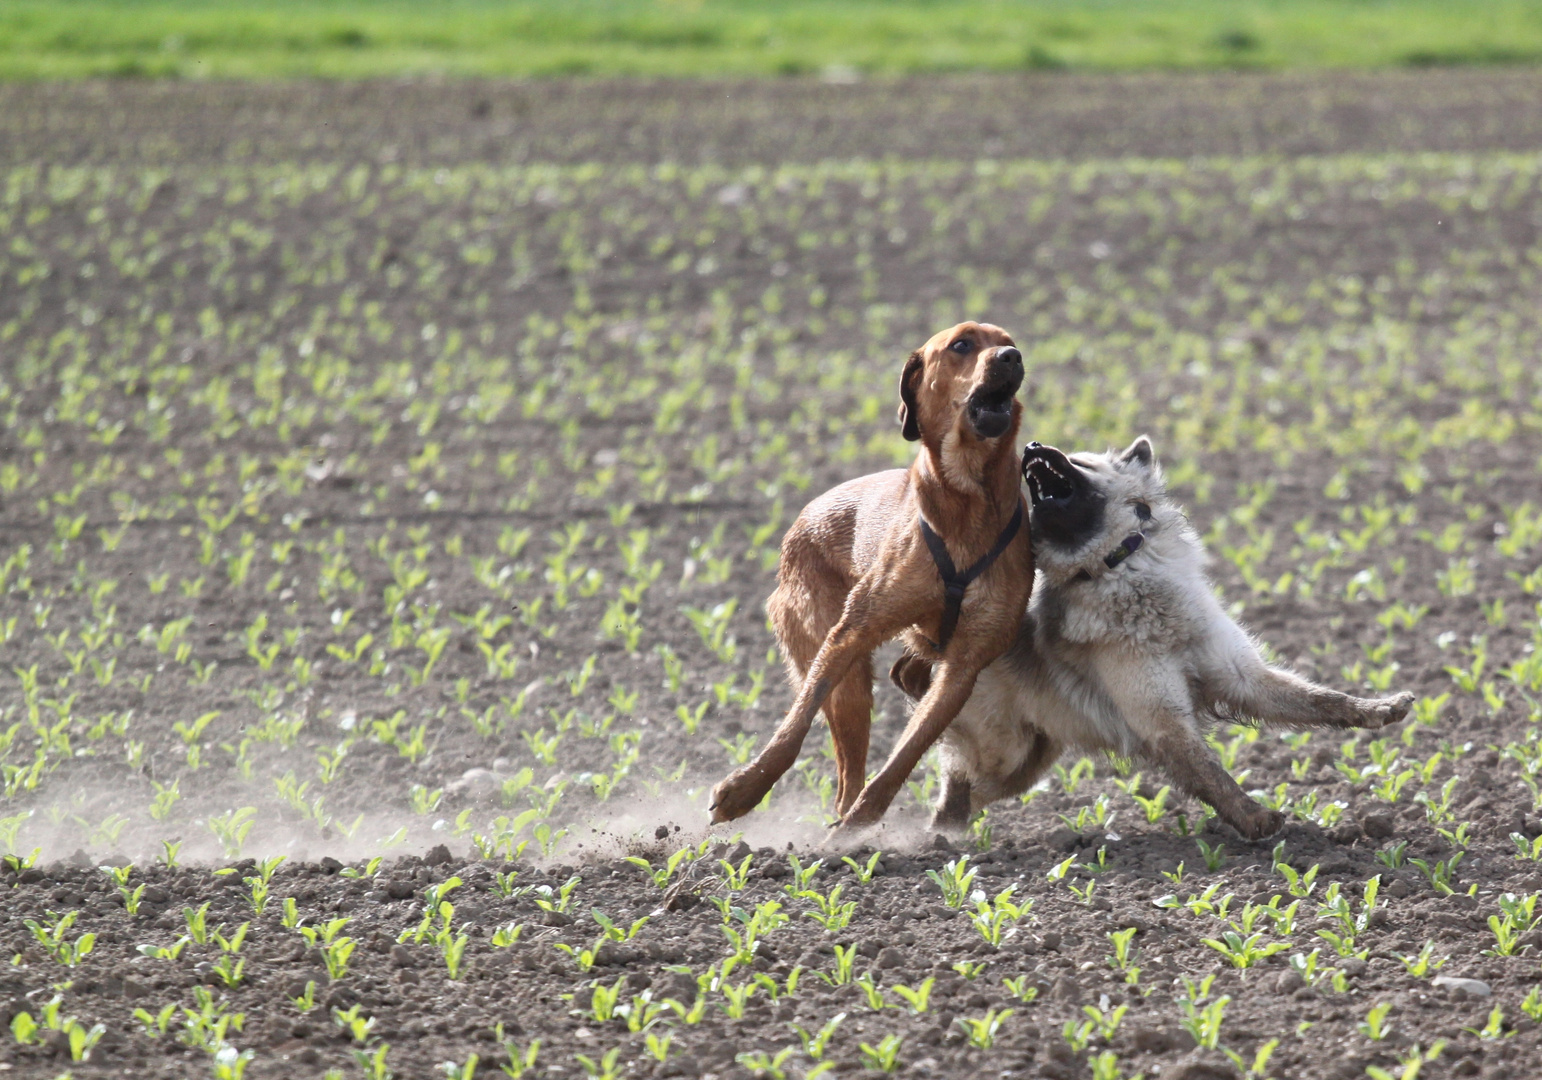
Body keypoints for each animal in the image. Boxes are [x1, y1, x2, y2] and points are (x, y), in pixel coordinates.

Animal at [709, 322, 1036, 833]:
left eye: (1008, 340)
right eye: (961, 344)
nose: (1011, 357)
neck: (968, 498)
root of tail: (798, 523)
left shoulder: (964, 665)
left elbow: (906, 754)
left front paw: (857, 829)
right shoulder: (851, 632)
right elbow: (797, 720)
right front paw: (745, 789)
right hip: (845, 675)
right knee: (846, 765)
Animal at [888, 435, 1412, 839]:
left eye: (1078, 460)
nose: (1031, 446)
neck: (1118, 566)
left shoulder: (1239, 674)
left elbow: (1321, 701)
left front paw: (1378, 709)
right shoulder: (1161, 714)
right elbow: (1209, 771)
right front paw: (1253, 818)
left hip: (1027, 760)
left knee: (971, 789)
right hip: (1004, 748)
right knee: (956, 780)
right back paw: (929, 834)